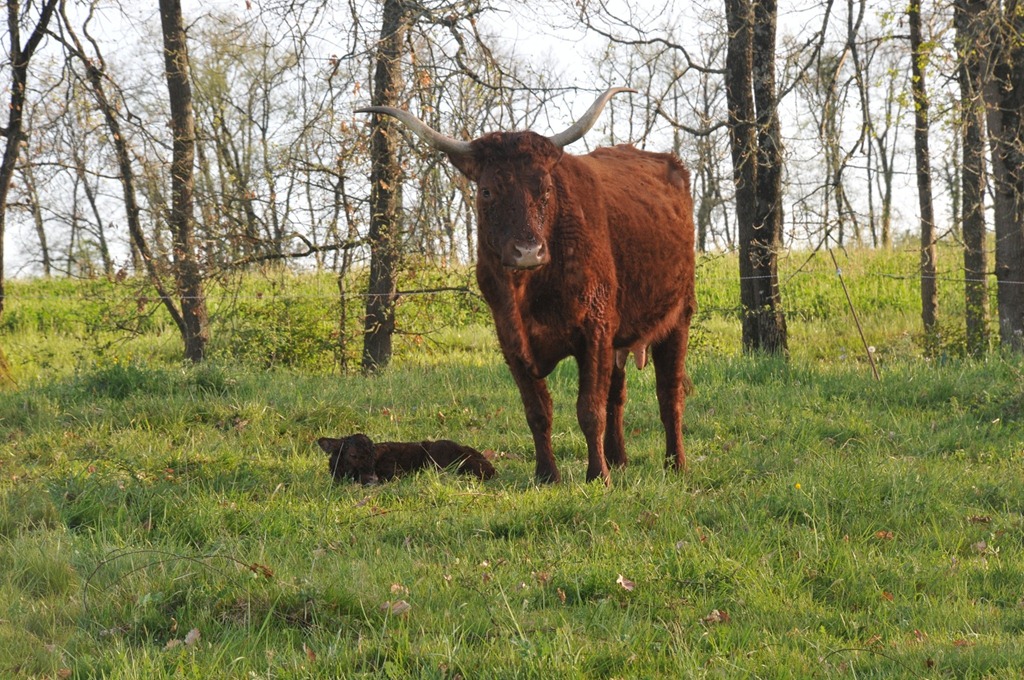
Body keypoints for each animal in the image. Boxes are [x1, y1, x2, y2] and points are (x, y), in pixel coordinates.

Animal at [357, 88, 696, 486]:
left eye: (546, 189)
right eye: (487, 191)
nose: (528, 251)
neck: (528, 289)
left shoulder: (594, 330)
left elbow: (589, 409)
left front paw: (598, 476)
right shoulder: (511, 339)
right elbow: (538, 411)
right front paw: (548, 474)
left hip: (679, 317)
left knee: (668, 393)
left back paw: (675, 464)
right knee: (618, 394)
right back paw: (619, 459)